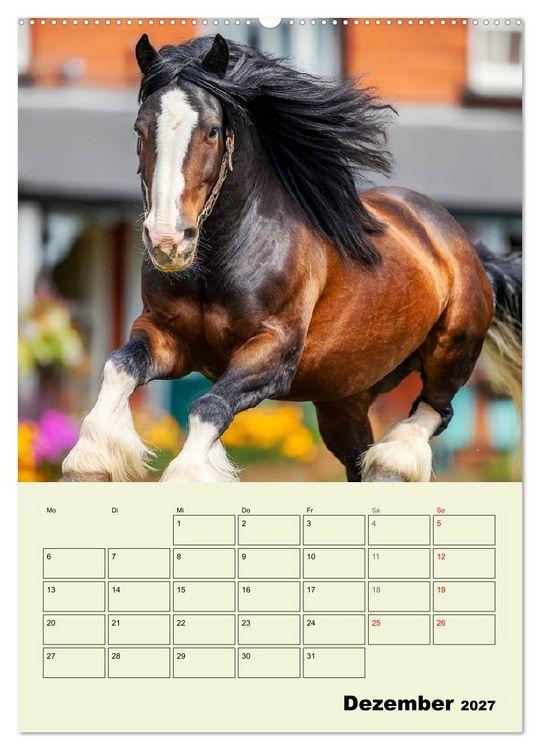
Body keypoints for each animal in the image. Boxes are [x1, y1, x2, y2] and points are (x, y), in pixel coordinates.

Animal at [62, 33, 522, 483]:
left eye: (212, 131)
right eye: (139, 129)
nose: (168, 242)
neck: (218, 264)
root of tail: (466, 248)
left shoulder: (274, 353)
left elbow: (209, 407)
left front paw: (188, 474)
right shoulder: (166, 336)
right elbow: (119, 366)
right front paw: (90, 460)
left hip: (453, 345)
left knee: (435, 409)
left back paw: (393, 464)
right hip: (343, 400)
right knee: (360, 456)